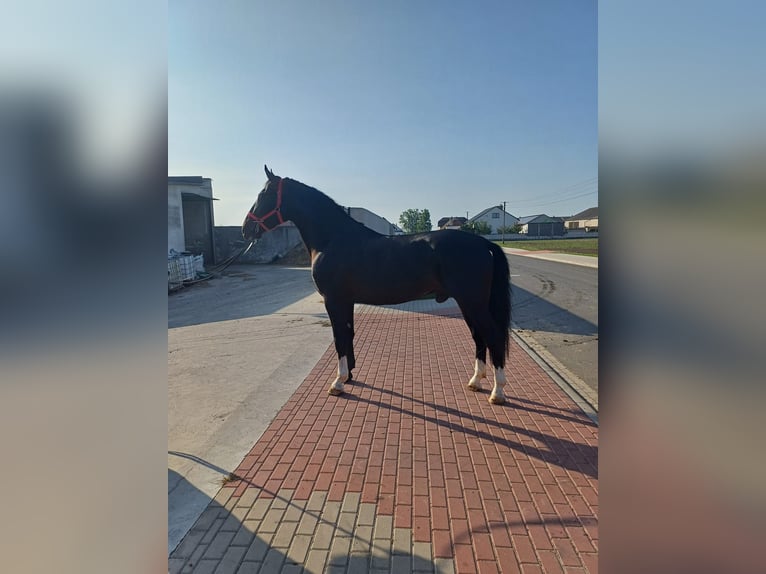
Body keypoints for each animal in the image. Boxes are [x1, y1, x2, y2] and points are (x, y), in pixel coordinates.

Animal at [243, 166, 512, 404]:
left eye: (264, 195)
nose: (246, 229)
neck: (333, 239)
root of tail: (482, 243)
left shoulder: (334, 300)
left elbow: (339, 337)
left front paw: (338, 382)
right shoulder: (346, 301)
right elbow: (348, 334)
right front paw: (348, 376)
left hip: (473, 302)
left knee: (493, 336)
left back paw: (497, 392)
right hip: (468, 303)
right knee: (479, 336)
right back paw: (475, 381)